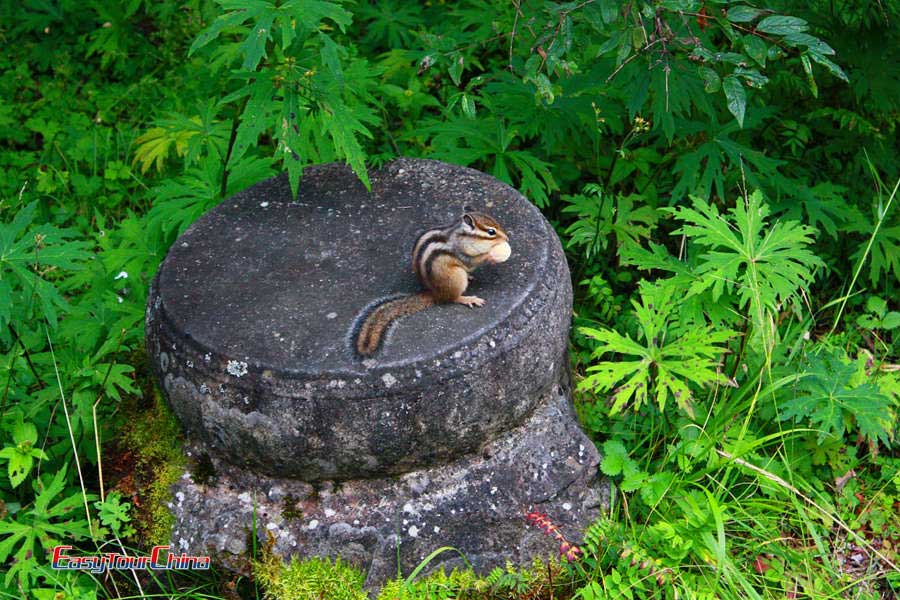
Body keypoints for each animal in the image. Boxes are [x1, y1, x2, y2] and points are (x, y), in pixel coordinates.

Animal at [355, 212, 512, 357]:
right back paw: (467, 298)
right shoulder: (462, 253)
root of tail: (435, 293)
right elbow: (472, 260)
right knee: (452, 298)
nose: (507, 238)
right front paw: (490, 256)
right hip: (457, 278)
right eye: (491, 232)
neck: (462, 236)